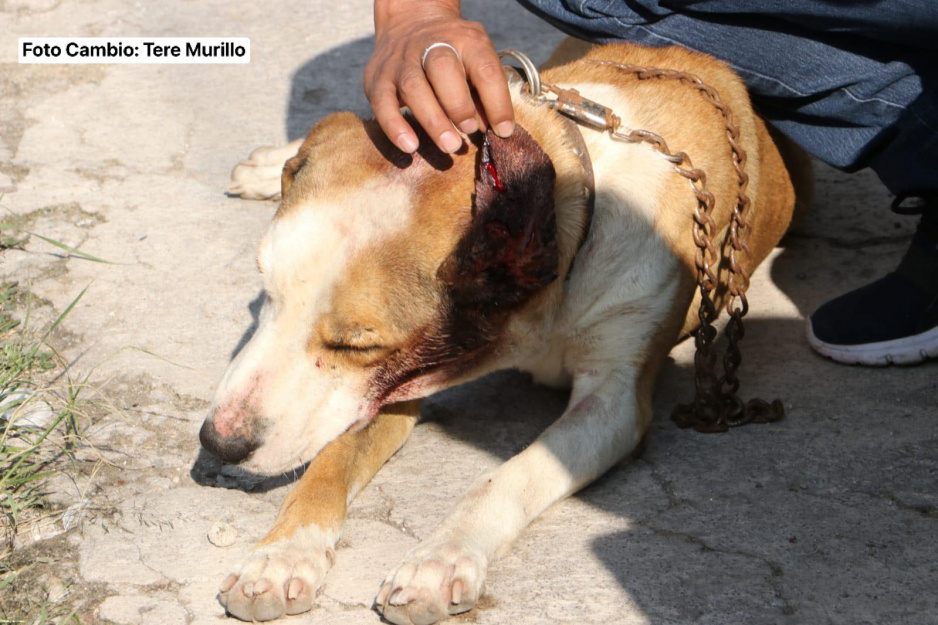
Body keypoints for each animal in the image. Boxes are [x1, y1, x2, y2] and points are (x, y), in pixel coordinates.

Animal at [201, 42, 800, 624]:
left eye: (356, 344)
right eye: (266, 293)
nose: (218, 442)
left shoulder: (613, 402)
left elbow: (509, 477)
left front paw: (439, 560)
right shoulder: (389, 386)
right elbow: (330, 462)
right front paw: (281, 554)